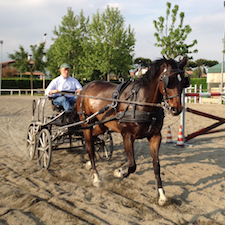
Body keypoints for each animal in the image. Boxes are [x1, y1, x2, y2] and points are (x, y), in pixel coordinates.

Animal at [76, 56, 189, 206]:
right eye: (168, 81)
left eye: (183, 81)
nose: (176, 109)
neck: (141, 102)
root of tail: (85, 87)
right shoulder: (127, 136)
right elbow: (132, 165)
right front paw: (119, 172)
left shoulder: (155, 136)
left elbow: (156, 166)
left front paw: (161, 195)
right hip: (87, 122)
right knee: (89, 144)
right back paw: (96, 177)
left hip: (103, 124)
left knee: (94, 140)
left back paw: (90, 163)